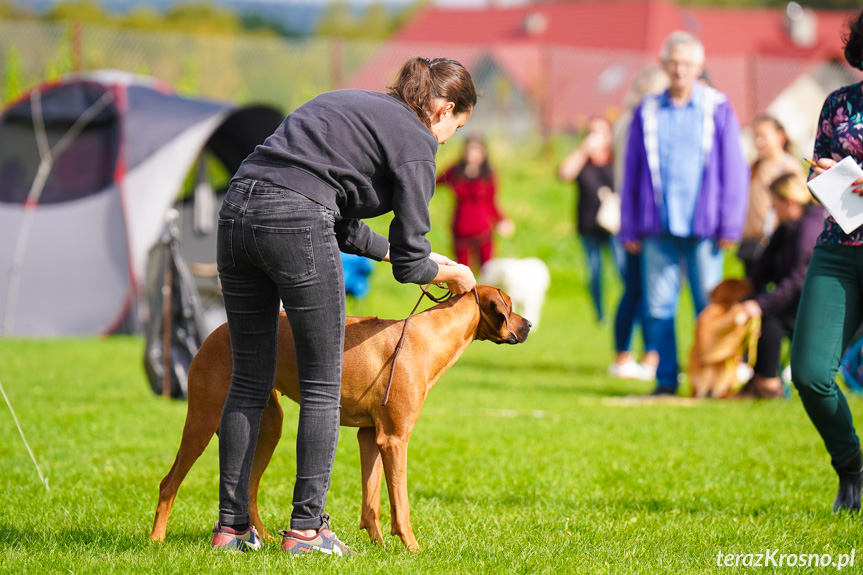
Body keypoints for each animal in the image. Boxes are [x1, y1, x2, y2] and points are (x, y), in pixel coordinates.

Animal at [152, 286, 532, 552]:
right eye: (510, 306)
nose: (529, 324)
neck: (427, 337)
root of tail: (214, 332)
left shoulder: (371, 437)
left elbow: (371, 503)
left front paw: (380, 548)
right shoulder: (395, 440)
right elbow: (401, 507)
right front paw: (412, 549)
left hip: (267, 427)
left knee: (247, 488)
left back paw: (263, 541)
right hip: (203, 421)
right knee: (169, 483)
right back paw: (157, 539)